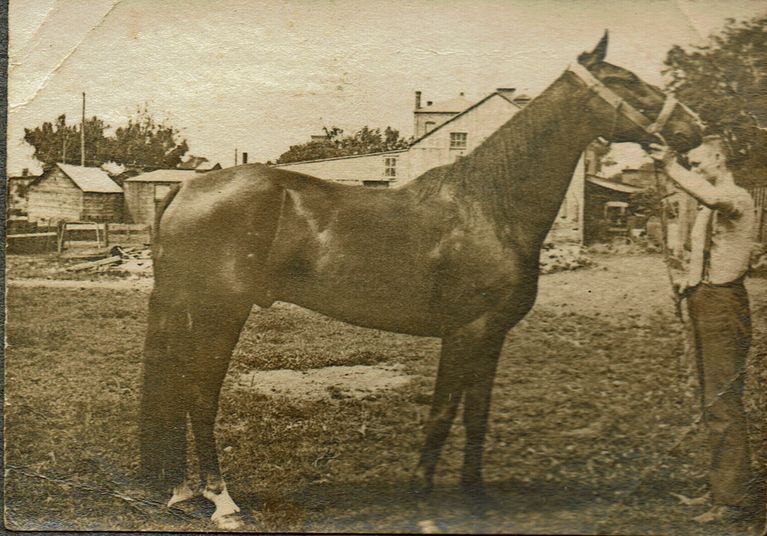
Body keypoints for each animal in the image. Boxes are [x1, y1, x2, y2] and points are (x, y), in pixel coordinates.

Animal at [139, 33, 703, 529]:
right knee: (199, 394)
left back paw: (183, 492)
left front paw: (475, 498)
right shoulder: (466, 332)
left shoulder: (492, 336)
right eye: (626, 81)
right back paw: (223, 502)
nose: (693, 128)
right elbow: (442, 414)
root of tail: (184, 189)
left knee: (178, 388)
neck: (490, 206)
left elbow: (477, 416)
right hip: (220, 313)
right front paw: (424, 501)